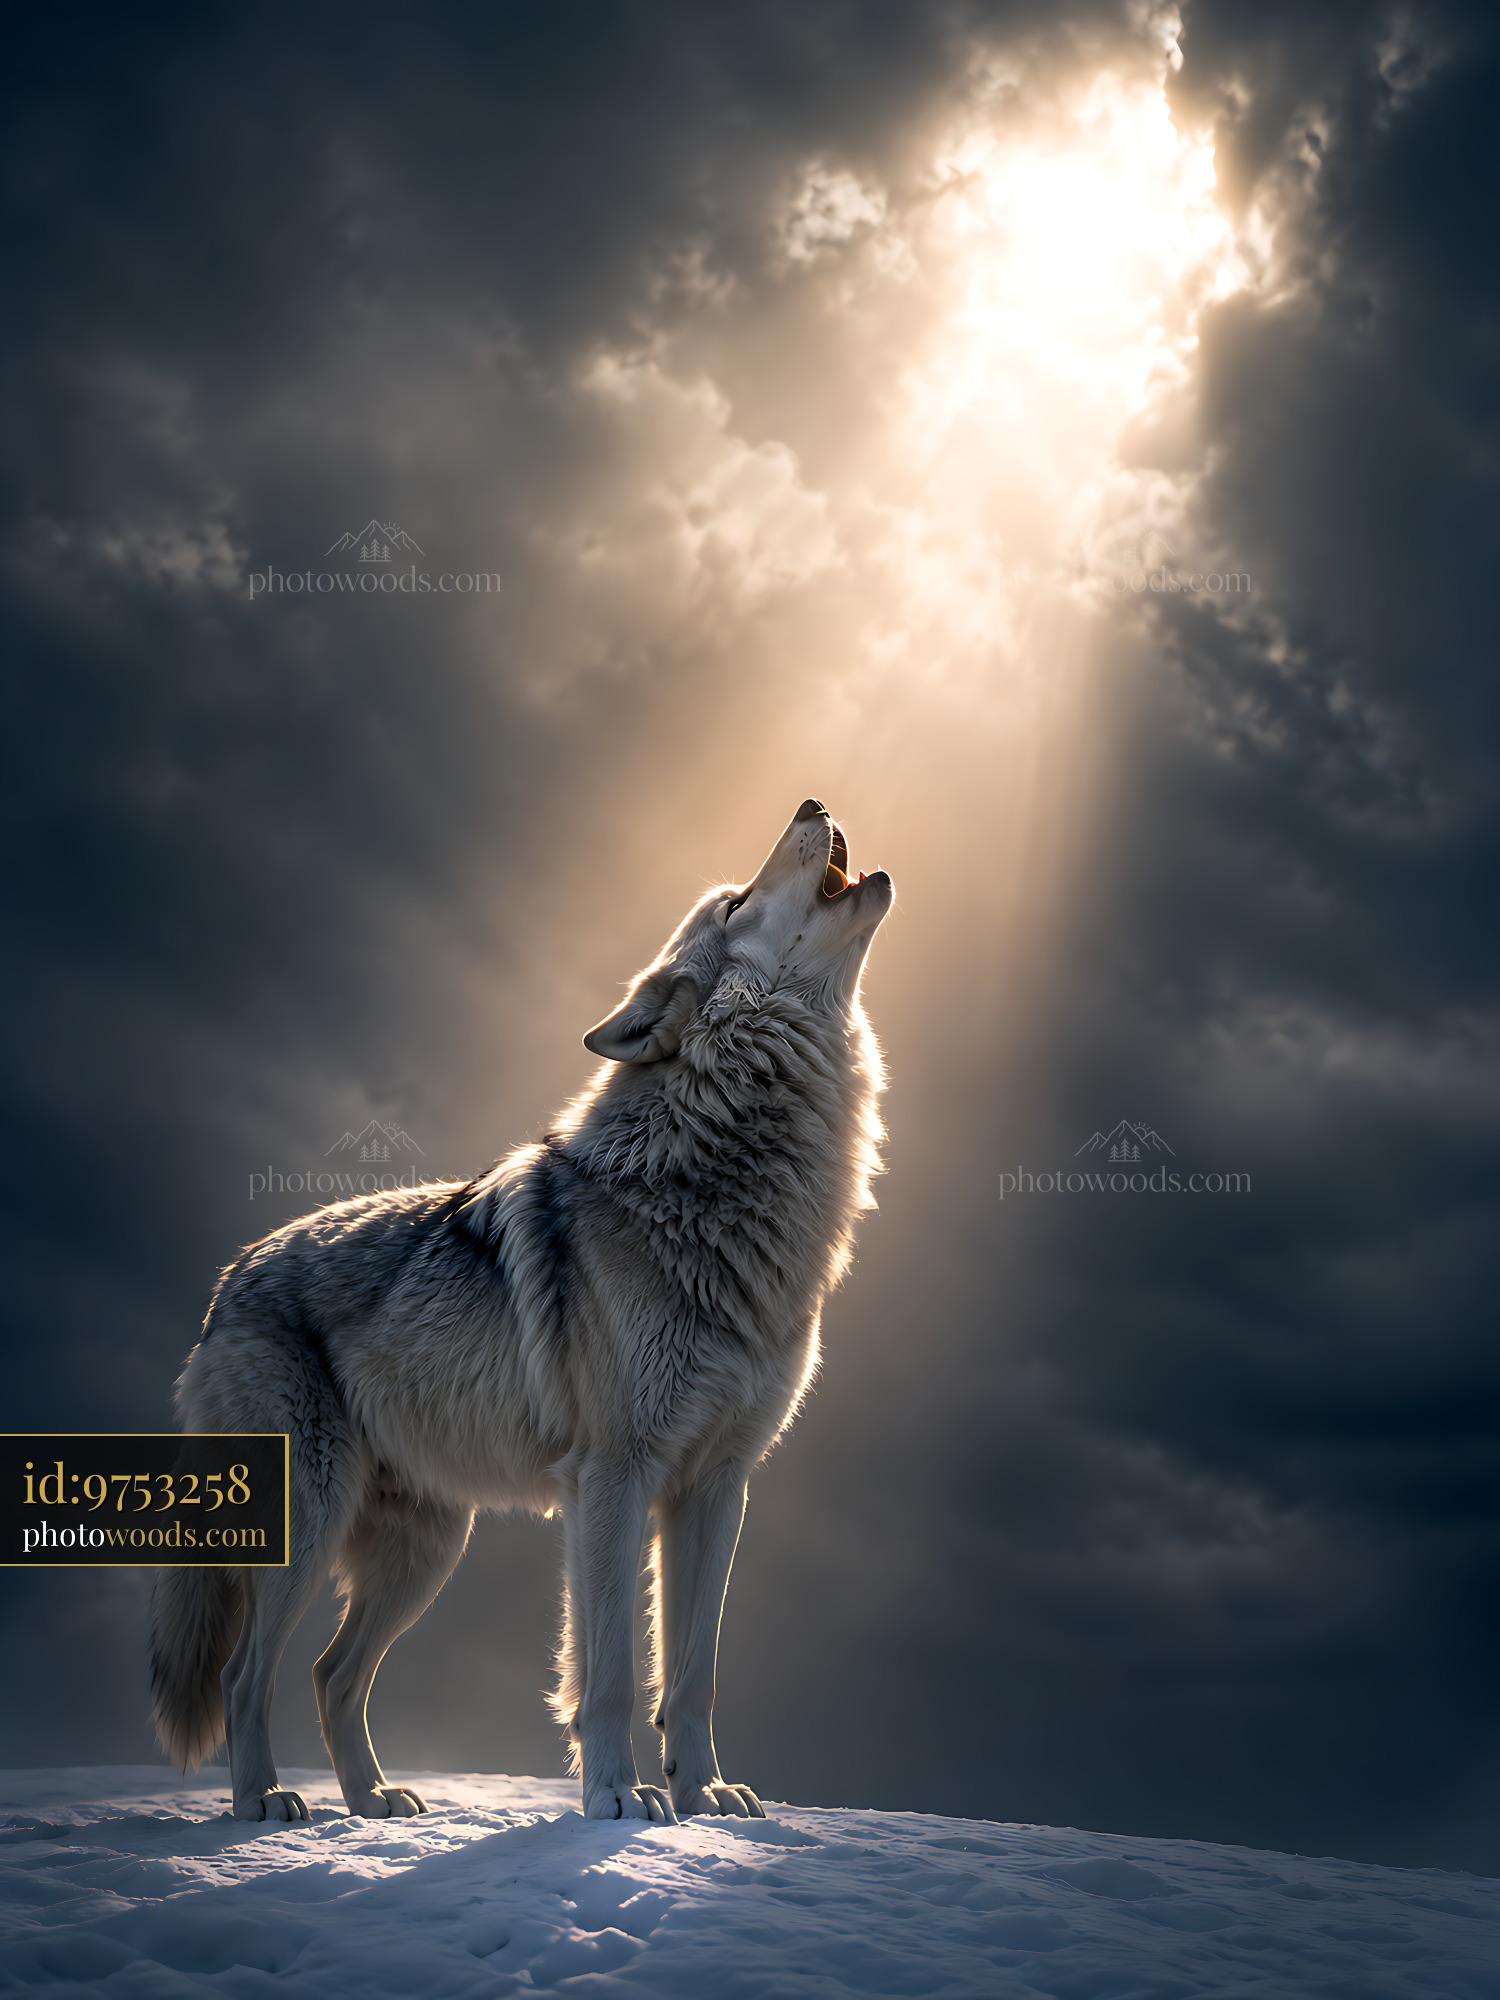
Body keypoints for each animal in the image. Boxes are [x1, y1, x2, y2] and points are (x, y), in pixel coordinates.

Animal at [151, 799, 891, 1824]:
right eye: (737, 902)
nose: (812, 804)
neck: (710, 1182)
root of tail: (228, 1282)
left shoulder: (717, 1487)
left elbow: (692, 1672)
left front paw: (703, 1794)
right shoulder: (612, 1475)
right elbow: (611, 1670)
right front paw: (617, 1798)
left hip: (426, 1552)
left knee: (332, 1674)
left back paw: (374, 1799)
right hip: (314, 1525)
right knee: (243, 1673)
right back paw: (267, 1803)